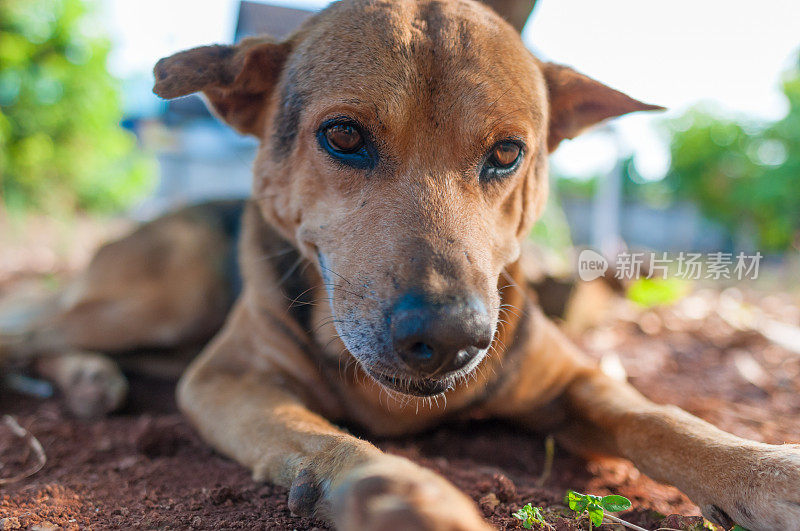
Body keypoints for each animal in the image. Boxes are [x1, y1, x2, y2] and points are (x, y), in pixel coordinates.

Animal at [3, 1, 796, 531]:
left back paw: (91, 379)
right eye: (344, 136)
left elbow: (659, 415)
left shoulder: (572, 378)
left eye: (507, 153)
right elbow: (329, 440)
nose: (451, 339)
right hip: (165, 295)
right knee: (27, 334)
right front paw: (410, 494)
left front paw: (766, 471)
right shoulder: (227, 378)